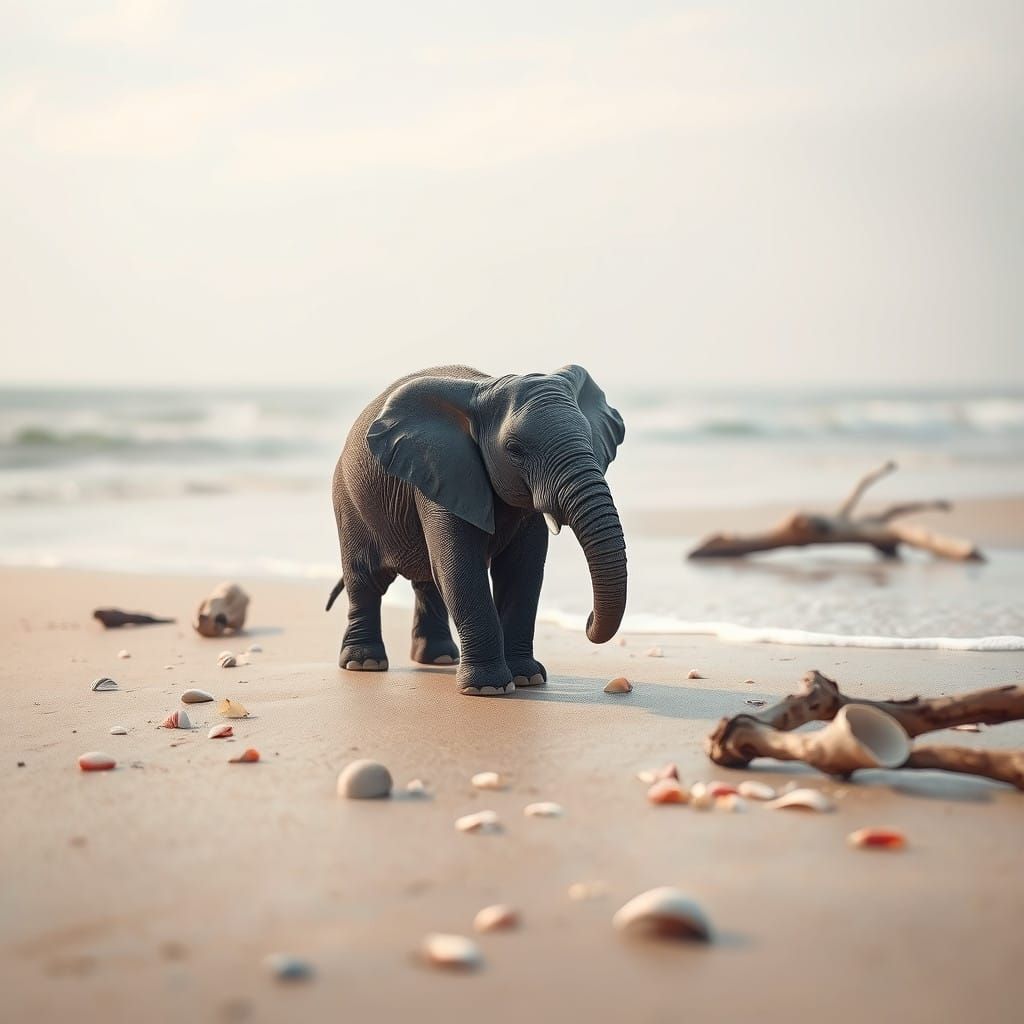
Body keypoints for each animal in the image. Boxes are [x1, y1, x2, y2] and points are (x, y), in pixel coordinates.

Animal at [327, 364, 627, 696]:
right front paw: (488, 689)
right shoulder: (443, 472)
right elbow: (460, 567)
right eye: (514, 450)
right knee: (365, 579)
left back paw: (439, 659)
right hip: (349, 501)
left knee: (427, 581)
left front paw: (527, 678)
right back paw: (364, 663)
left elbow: (522, 570)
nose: (587, 621)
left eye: (588, 437)